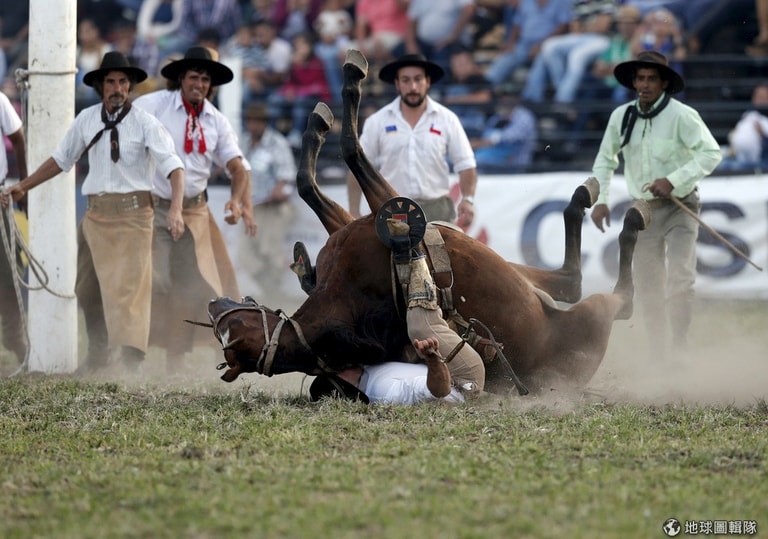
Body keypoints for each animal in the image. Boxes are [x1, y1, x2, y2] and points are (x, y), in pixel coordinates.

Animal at [204, 50, 648, 394]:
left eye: (234, 323)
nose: (214, 303)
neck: (341, 300)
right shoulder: (390, 217)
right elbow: (349, 151)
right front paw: (350, 80)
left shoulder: (352, 225)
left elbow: (311, 182)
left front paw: (319, 120)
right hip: (592, 315)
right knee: (605, 295)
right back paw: (623, 218)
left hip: (526, 276)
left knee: (569, 280)